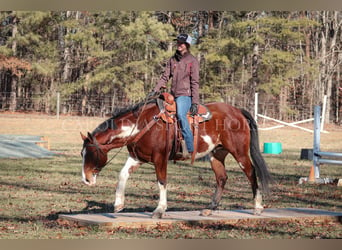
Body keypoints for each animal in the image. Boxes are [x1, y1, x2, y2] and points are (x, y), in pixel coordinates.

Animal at [80, 95, 272, 219]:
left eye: (91, 153)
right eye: (82, 154)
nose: (86, 179)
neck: (142, 125)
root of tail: (236, 111)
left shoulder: (160, 159)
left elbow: (162, 181)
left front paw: (159, 210)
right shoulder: (137, 158)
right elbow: (122, 175)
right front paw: (118, 204)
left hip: (240, 153)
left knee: (251, 173)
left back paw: (257, 207)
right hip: (217, 154)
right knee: (221, 178)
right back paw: (210, 209)